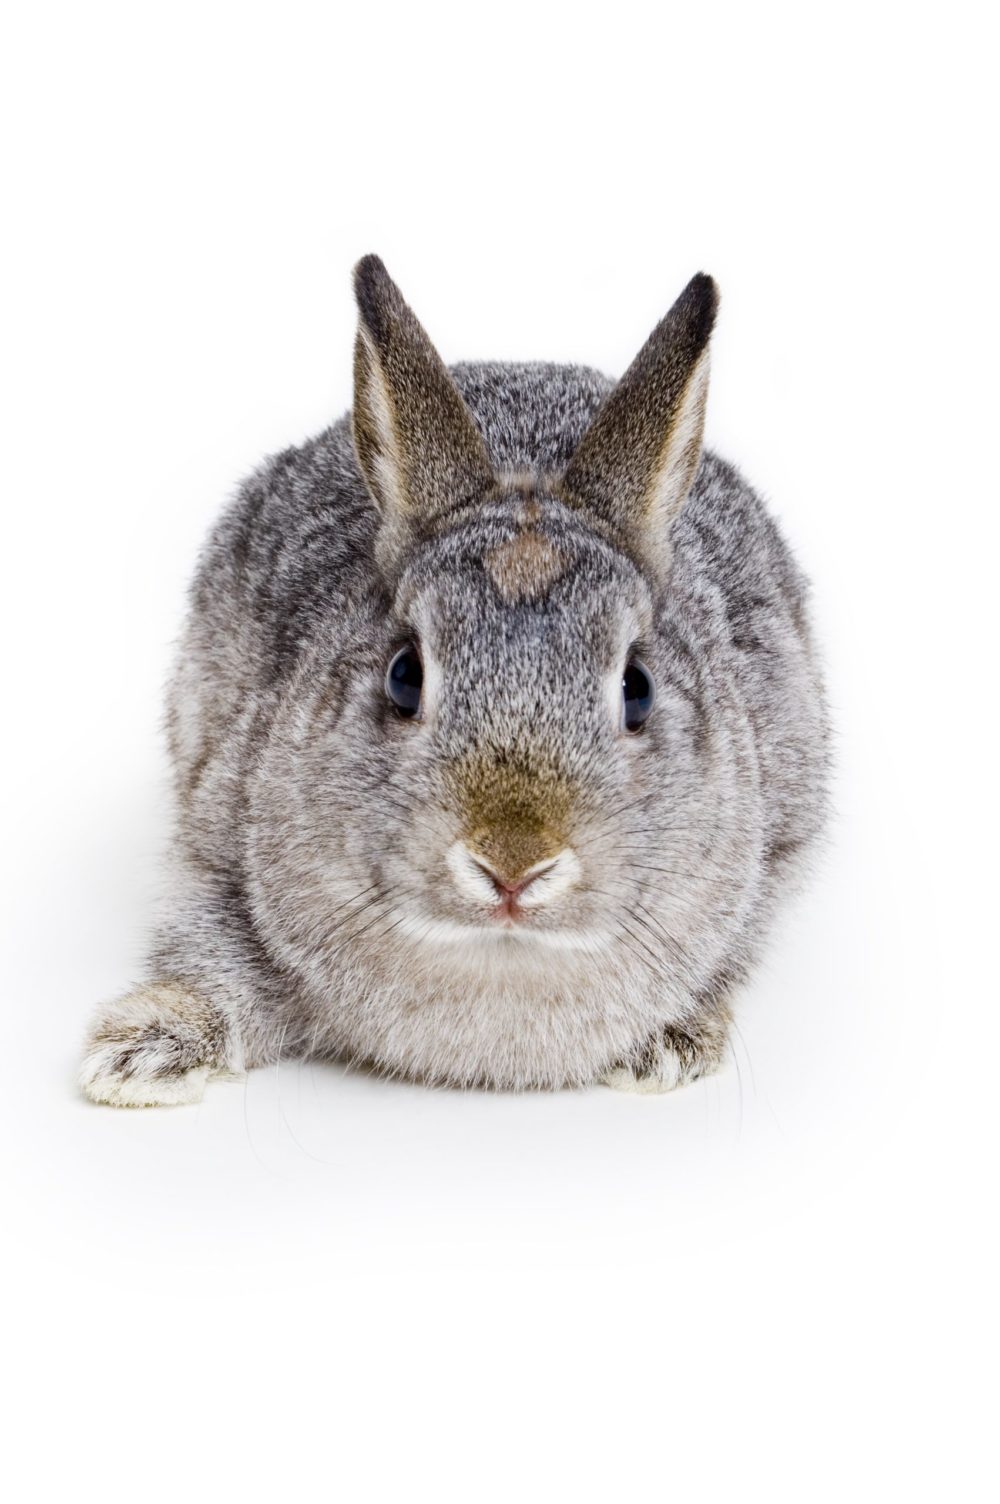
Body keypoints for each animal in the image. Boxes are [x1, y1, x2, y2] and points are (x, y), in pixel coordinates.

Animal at [80, 255, 828, 1106]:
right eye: (405, 676)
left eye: (637, 687)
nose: (513, 863)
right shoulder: (214, 853)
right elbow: (214, 967)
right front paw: (137, 1052)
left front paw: (668, 1049)